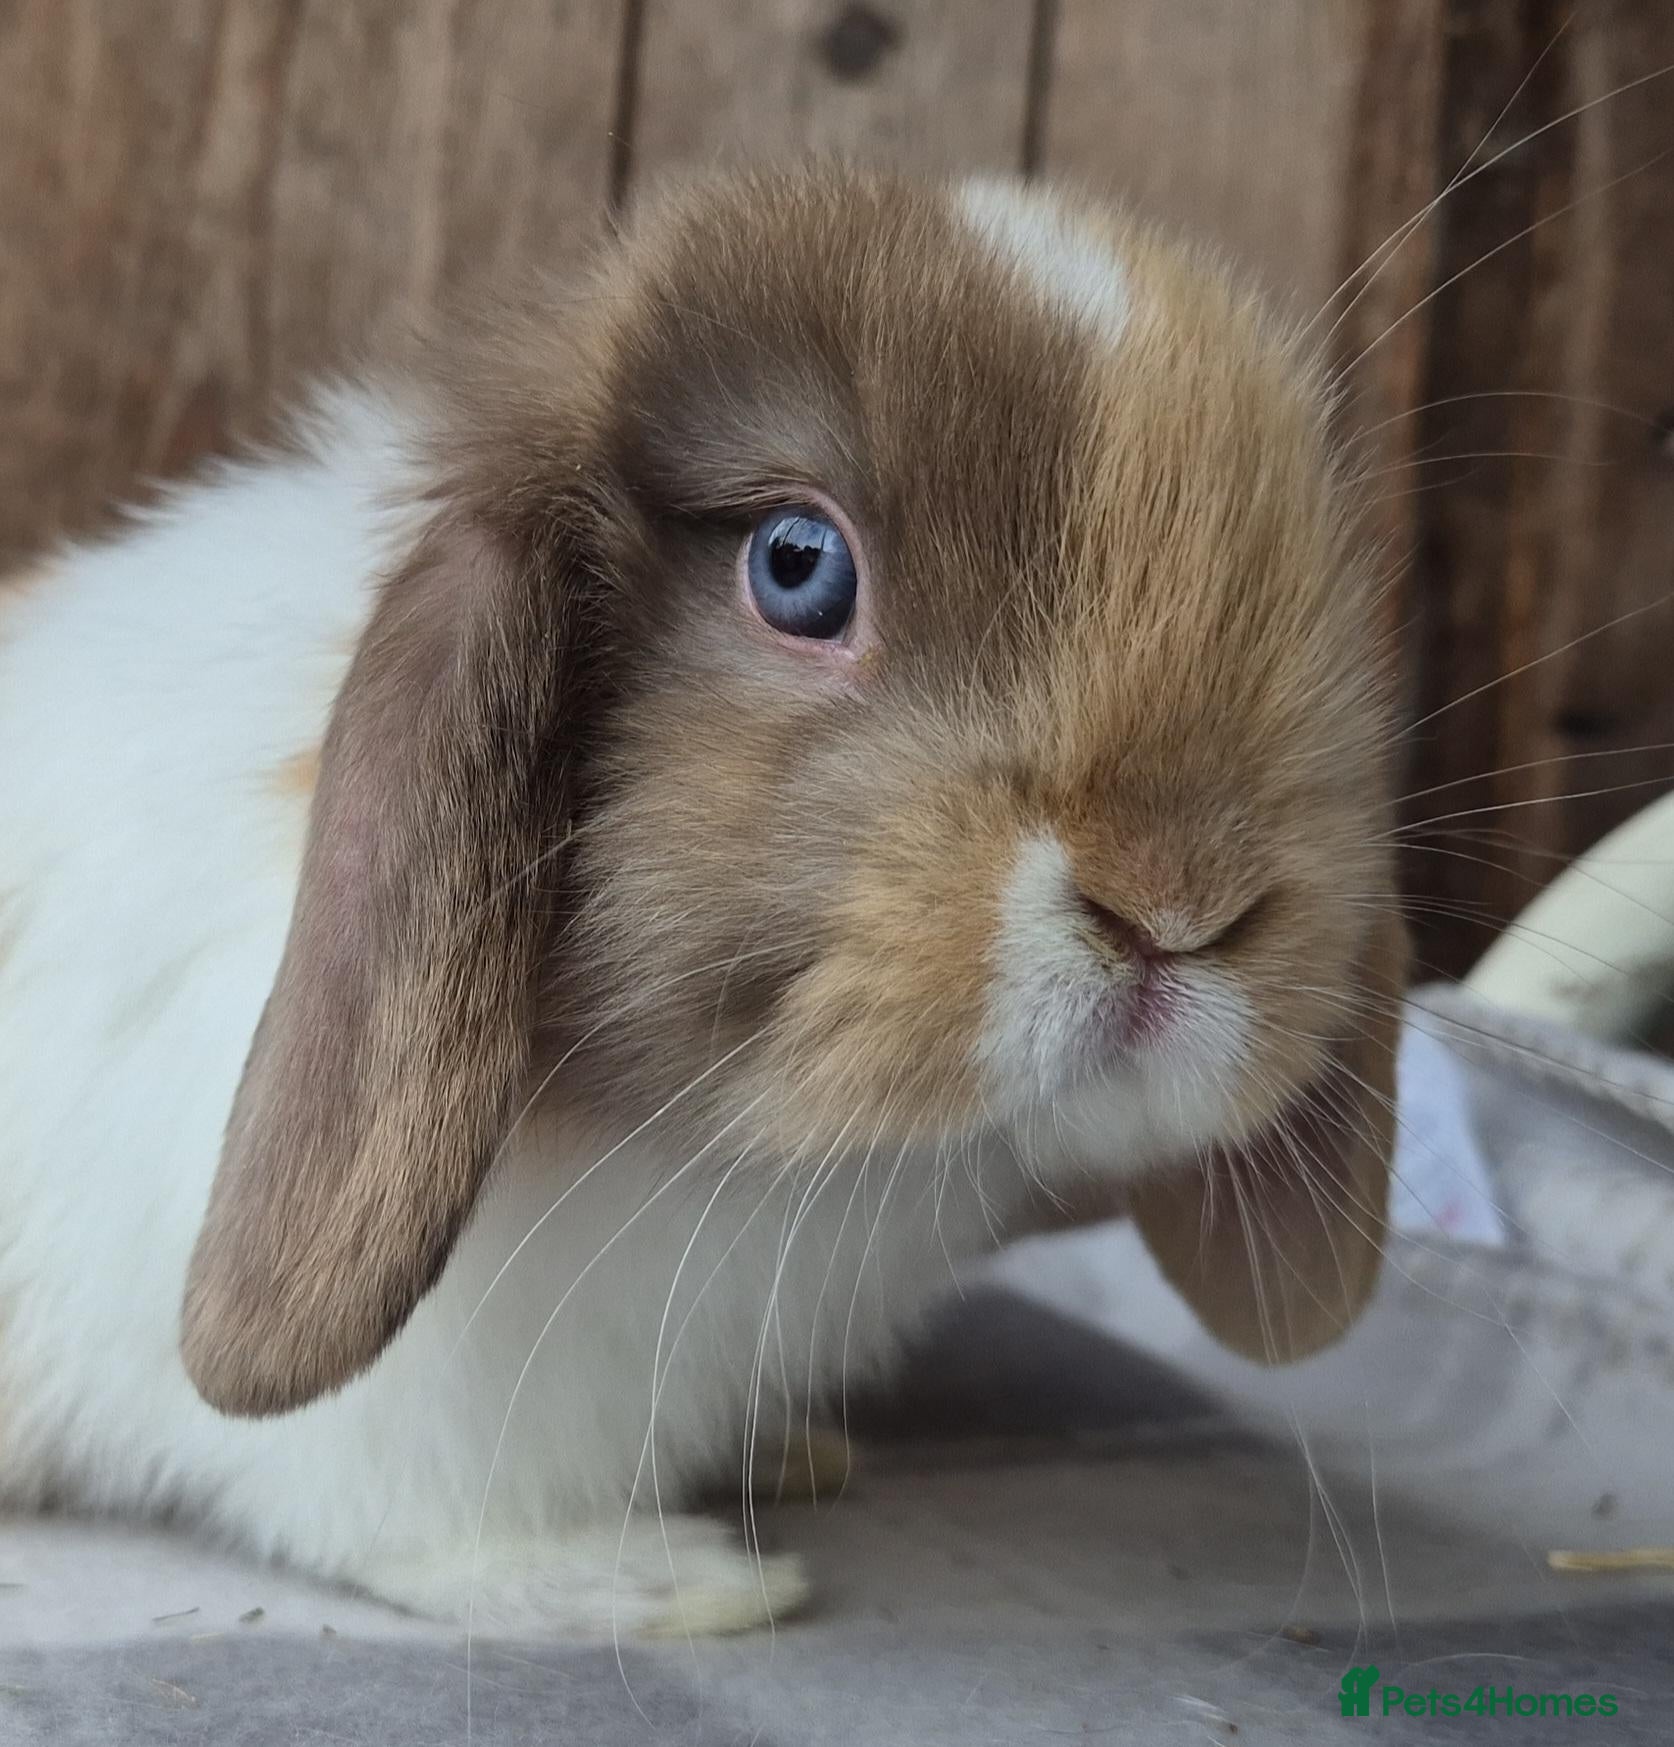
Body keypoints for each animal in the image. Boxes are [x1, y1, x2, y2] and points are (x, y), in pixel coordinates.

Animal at [0, 166, 1406, 1640]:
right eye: (798, 567)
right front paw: (660, 1580)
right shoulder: (397, 1422)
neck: (757, 1161)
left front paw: (790, 1456)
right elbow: (414, 1527)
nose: (1179, 899)